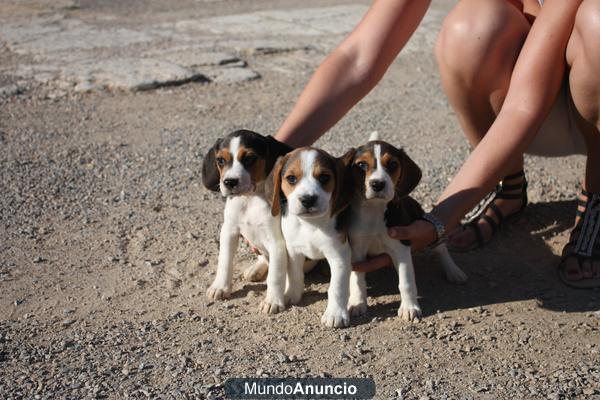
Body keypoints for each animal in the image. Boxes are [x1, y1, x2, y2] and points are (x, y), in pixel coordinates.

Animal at [202, 128, 292, 312]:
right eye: (220, 160)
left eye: (249, 158)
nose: (229, 182)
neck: (249, 200)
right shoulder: (229, 231)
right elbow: (224, 261)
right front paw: (220, 287)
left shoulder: (277, 243)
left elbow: (275, 275)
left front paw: (272, 301)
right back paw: (255, 269)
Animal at [268, 147, 356, 328]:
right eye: (291, 178)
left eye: (324, 177)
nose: (308, 199)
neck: (311, 224)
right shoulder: (294, 251)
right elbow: (294, 274)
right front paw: (292, 294)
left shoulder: (340, 255)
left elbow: (336, 287)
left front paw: (335, 314)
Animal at [346, 134, 468, 322]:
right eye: (361, 165)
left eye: (392, 164)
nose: (377, 184)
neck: (374, 210)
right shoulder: (357, 250)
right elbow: (357, 280)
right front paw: (357, 303)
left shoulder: (401, 247)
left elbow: (406, 281)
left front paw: (409, 307)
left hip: (426, 225)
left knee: (441, 249)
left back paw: (454, 272)